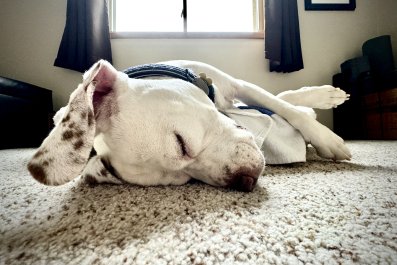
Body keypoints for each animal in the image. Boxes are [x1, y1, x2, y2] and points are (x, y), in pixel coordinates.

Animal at [27, 60, 350, 191]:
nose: (244, 181)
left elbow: (281, 104)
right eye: (184, 179)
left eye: (181, 142)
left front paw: (328, 138)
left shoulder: (237, 86)